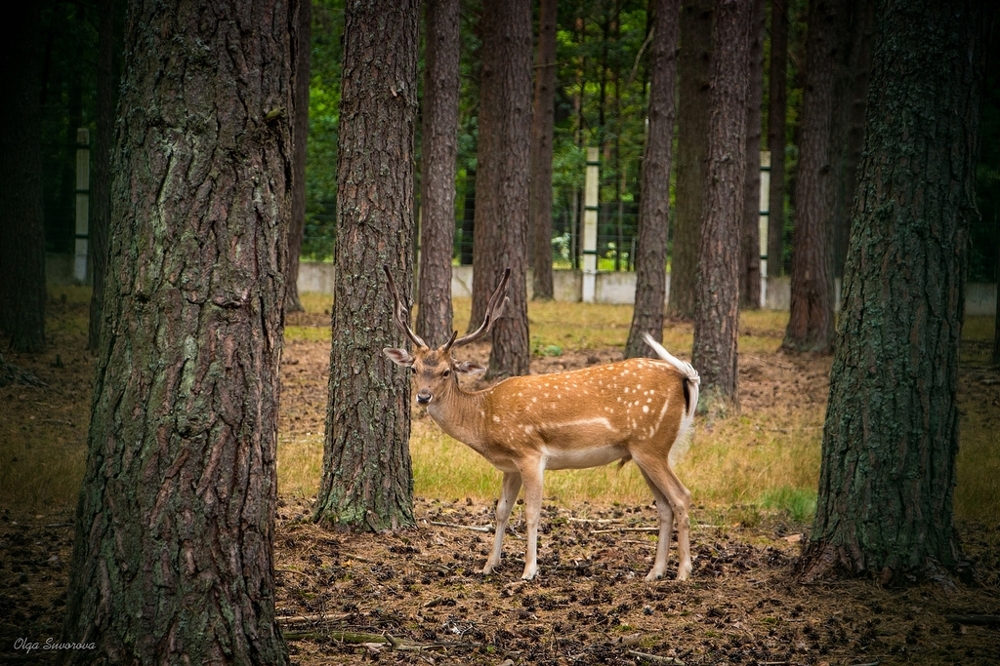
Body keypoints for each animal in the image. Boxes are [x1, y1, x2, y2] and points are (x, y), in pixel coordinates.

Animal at [378, 268, 700, 580]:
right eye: (415, 369)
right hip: (643, 450)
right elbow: (501, 511)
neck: (484, 417)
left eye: (446, 371)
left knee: (682, 497)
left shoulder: (530, 453)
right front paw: (488, 565)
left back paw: (683, 571)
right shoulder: (510, 466)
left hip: (652, 444)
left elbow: (531, 513)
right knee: (664, 506)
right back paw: (655, 572)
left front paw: (529, 570)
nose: (423, 396)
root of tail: (685, 377)